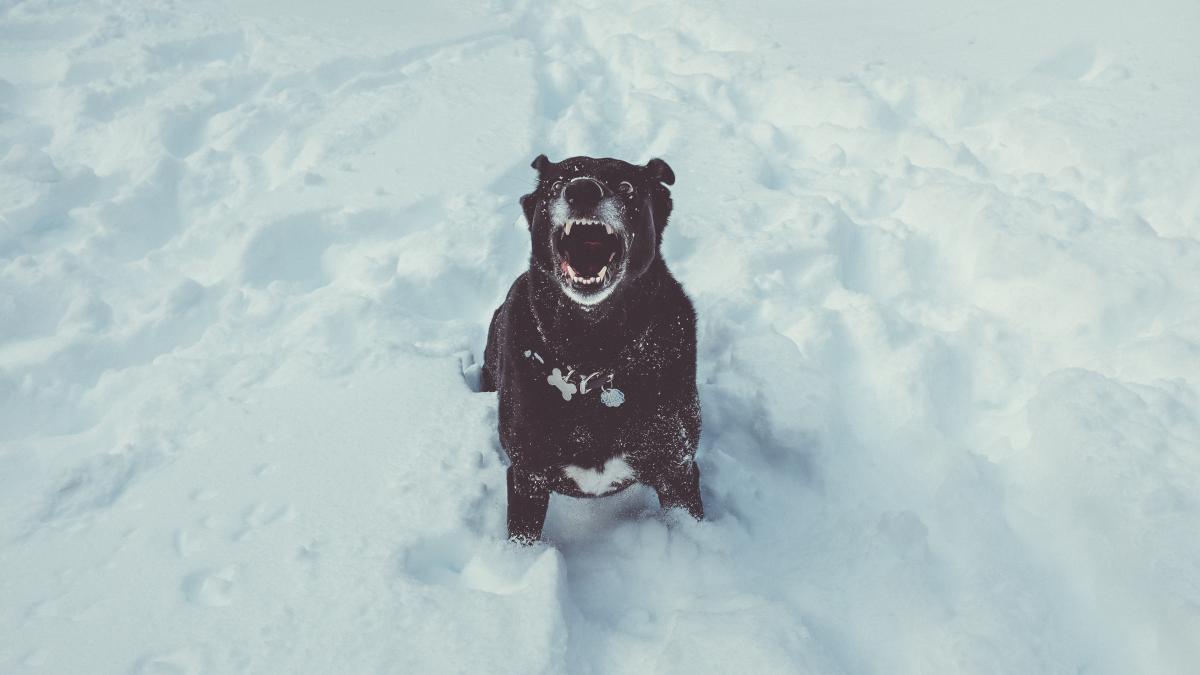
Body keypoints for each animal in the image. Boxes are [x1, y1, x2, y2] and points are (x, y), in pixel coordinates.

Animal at [480, 153, 700, 540]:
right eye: (555, 185)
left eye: (627, 187)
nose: (582, 189)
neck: (591, 348)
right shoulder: (527, 476)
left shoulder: (678, 468)